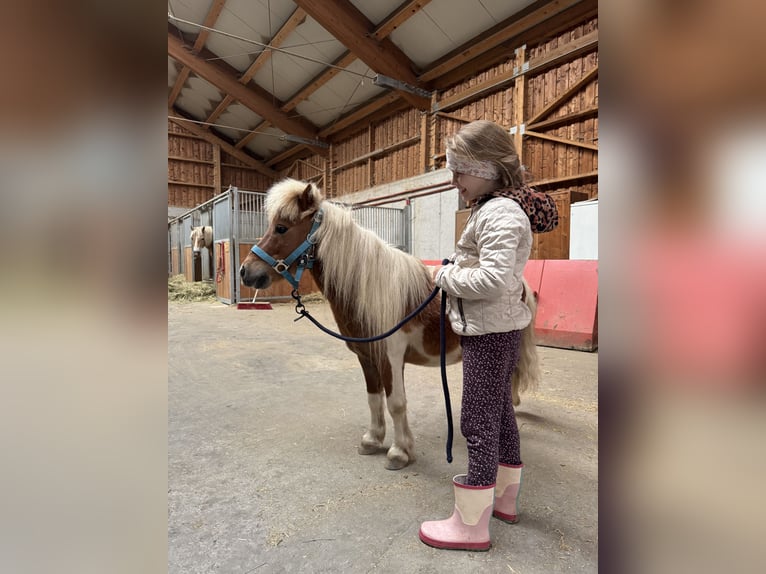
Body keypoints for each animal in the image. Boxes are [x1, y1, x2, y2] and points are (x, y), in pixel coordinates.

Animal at [239, 178, 541, 470]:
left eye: (281, 228)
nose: (245, 271)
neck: (370, 287)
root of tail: (520, 284)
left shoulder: (391, 356)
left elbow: (396, 402)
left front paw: (399, 452)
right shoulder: (366, 356)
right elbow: (374, 397)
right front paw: (373, 440)